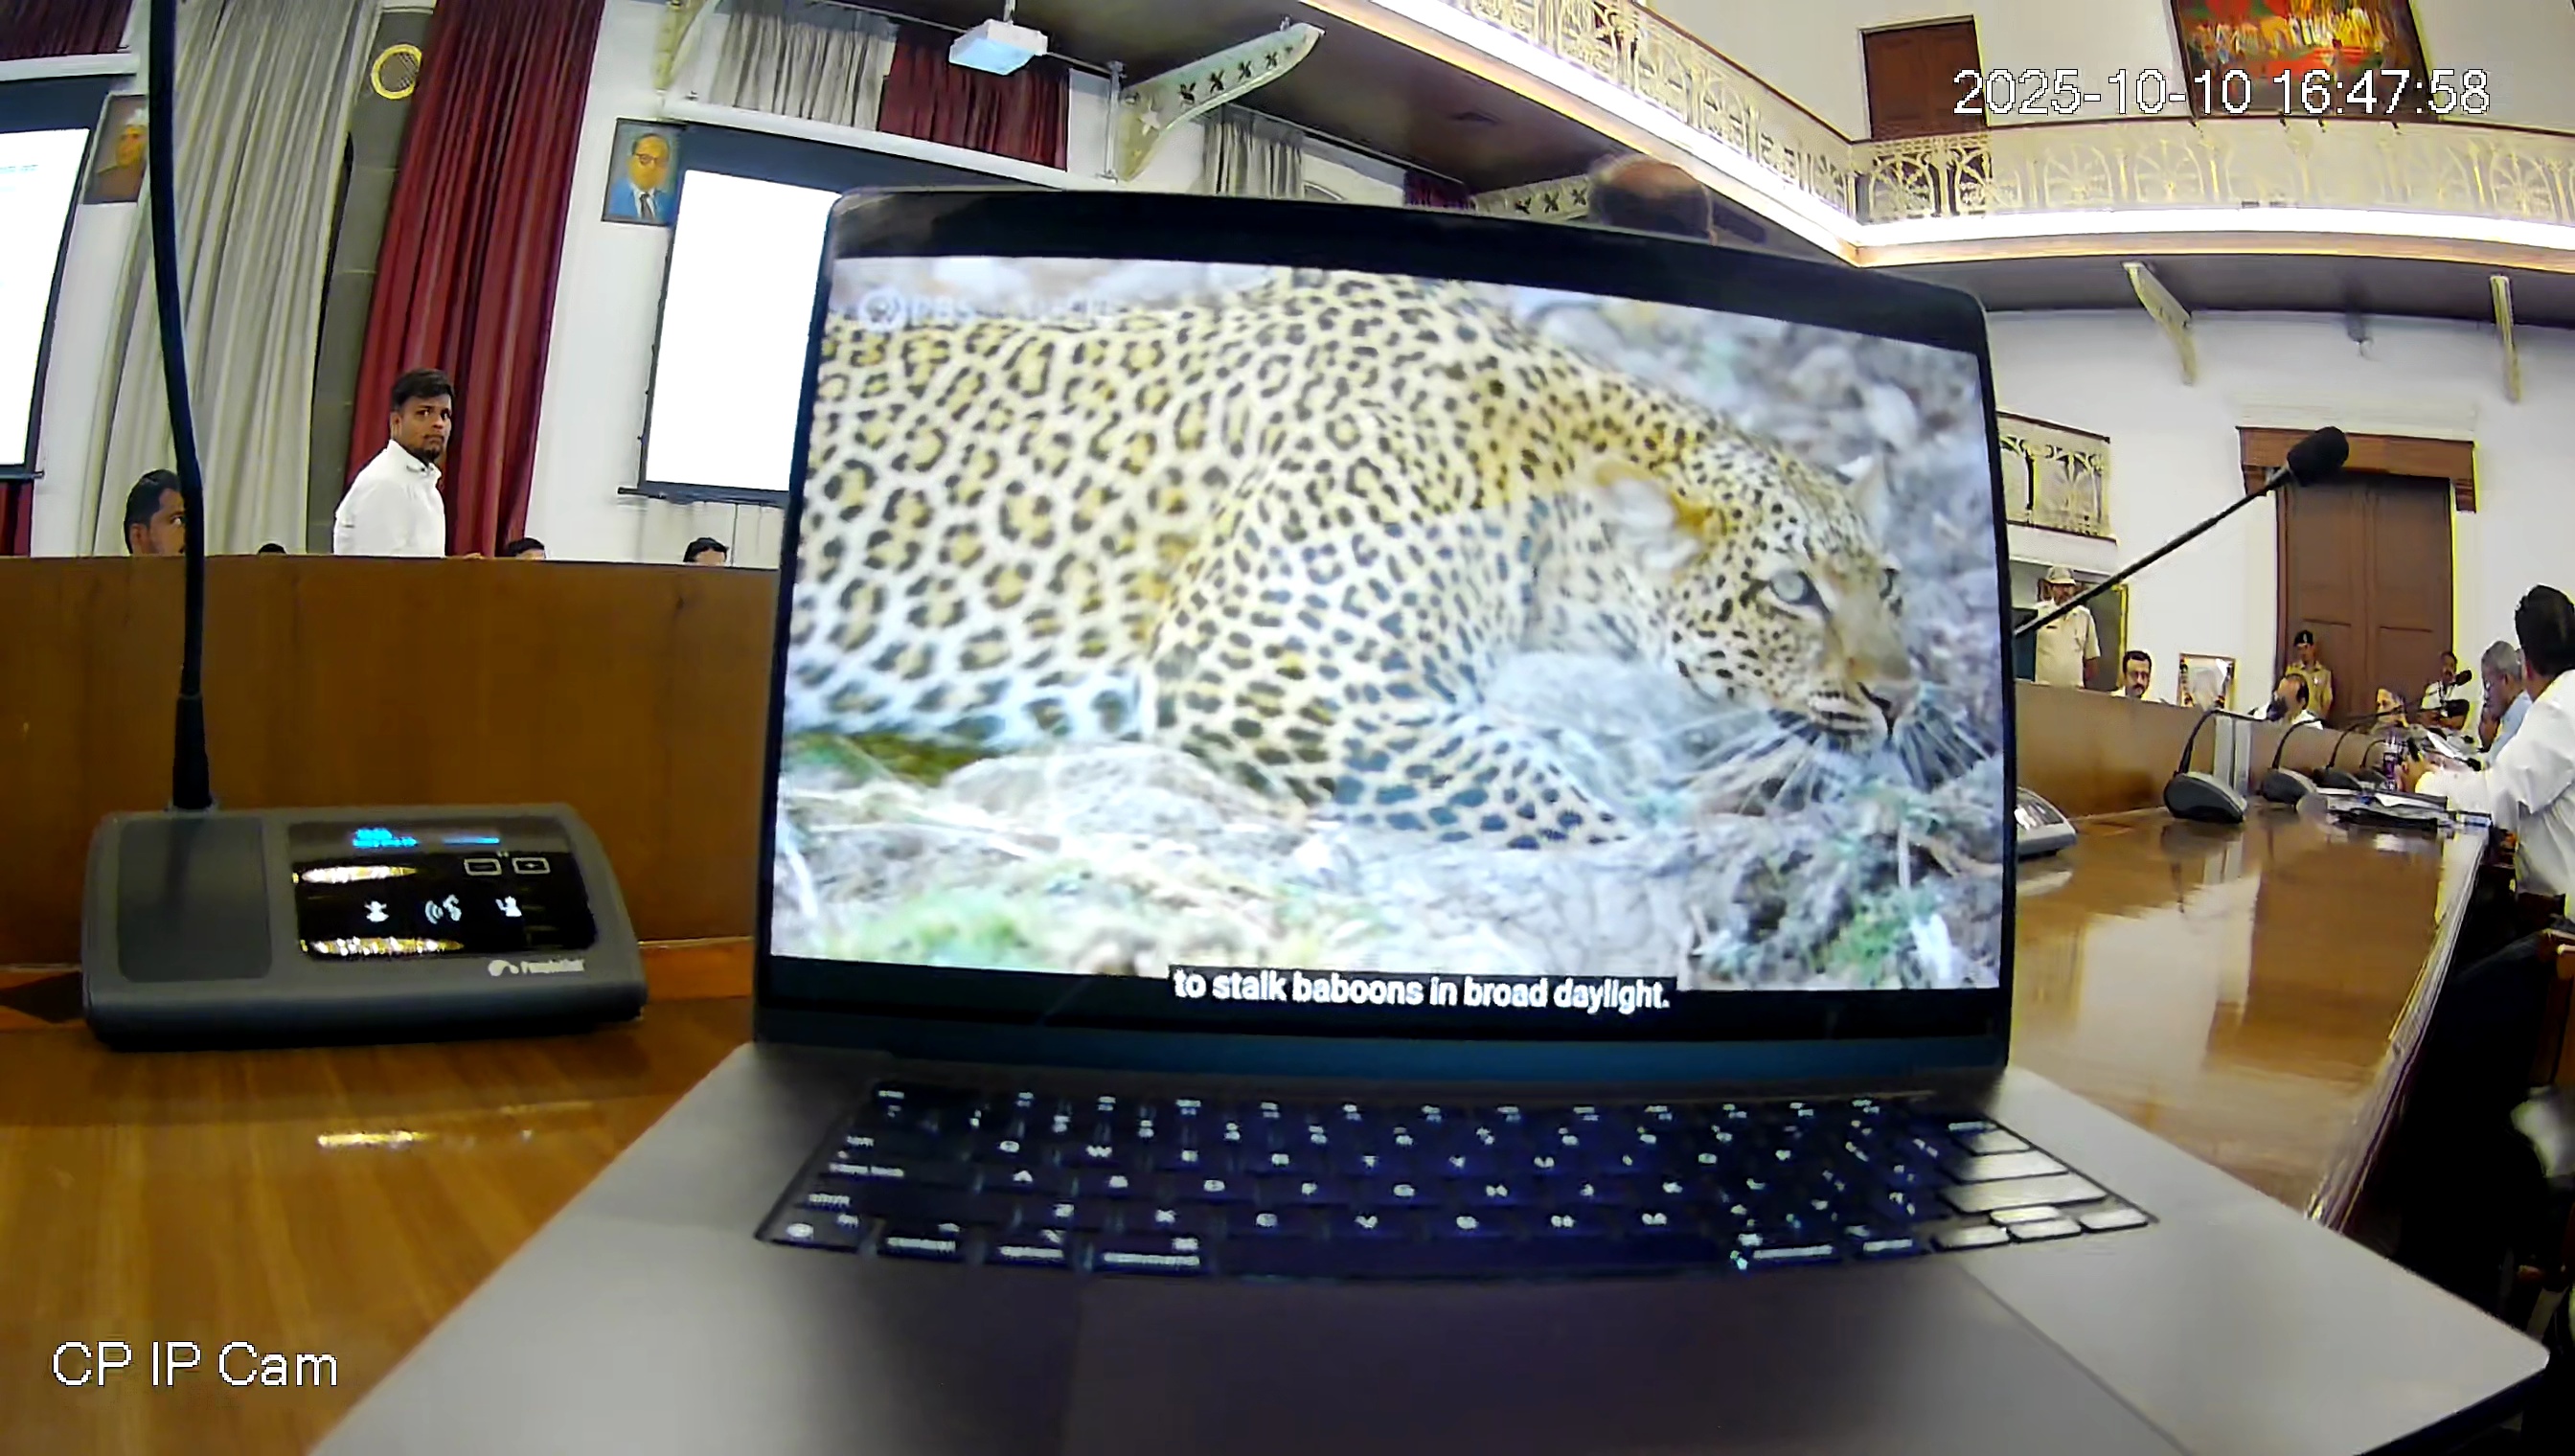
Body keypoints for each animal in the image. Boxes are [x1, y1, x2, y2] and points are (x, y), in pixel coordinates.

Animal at [782, 266, 1924, 850]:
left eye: (1888, 583)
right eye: (1793, 591)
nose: (1903, 699)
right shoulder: (1252, 660)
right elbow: (1529, 785)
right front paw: (1666, 848)